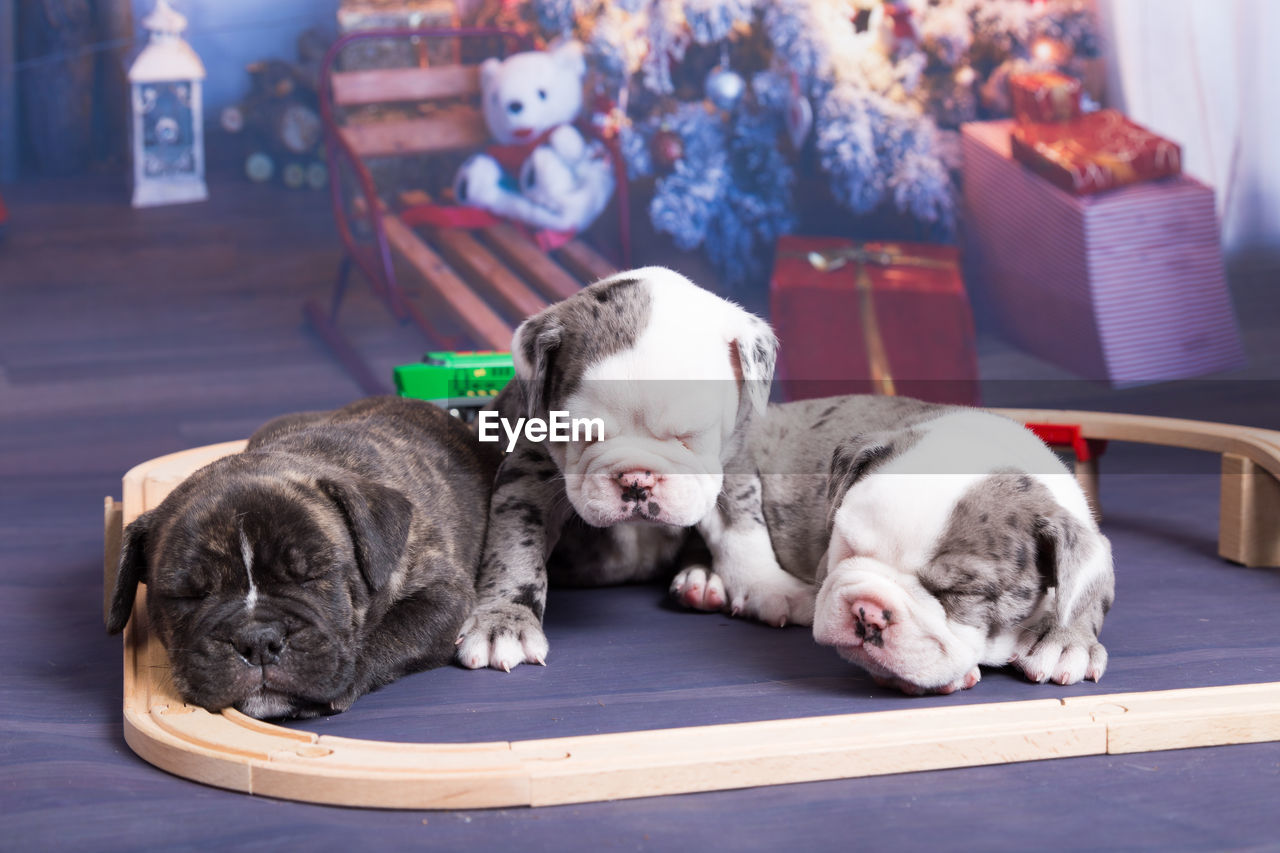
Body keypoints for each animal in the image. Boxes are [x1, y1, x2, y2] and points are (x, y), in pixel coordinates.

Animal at [455, 266, 808, 671]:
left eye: (690, 436)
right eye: (582, 433)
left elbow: (743, 528)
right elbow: (515, 549)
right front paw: (504, 620)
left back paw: (702, 577)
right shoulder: (526, 480)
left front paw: (769, 584)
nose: (636, 481)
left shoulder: (733, 459)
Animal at [675, 394, 1116, 696]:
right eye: (846, 544)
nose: (868, 612)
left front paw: (1066, 642)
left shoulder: (1090, 539)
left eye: (960, 593)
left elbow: (1087, 588)